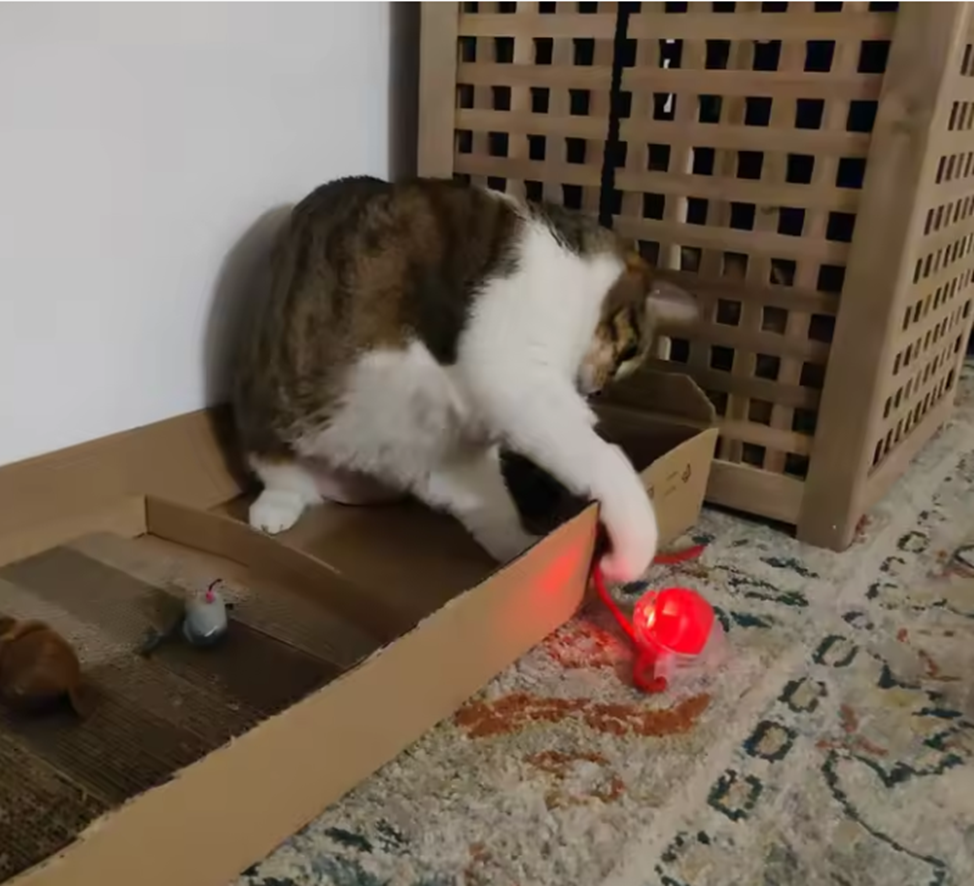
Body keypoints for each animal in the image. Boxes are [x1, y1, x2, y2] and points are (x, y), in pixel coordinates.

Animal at [231, 176, 698, 583]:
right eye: (629, 354)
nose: (596, 389)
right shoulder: (512, 374)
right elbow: (602, 457)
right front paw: (630, 553)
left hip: (436, 448)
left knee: (486, 512)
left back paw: (519, 554)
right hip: (270, 417)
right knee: (282, 476)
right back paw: (273, 509)